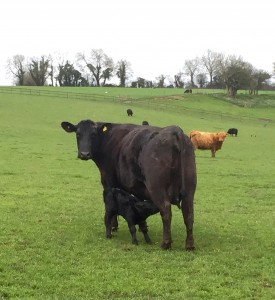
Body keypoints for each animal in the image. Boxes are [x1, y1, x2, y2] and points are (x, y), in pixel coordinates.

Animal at [61, 119, 197, 251]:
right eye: (78, 134)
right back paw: (189, 245)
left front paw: (113, 227)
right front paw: (142, 227)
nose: (84, 154)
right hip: (189, 190)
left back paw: (166, 243)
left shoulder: (109, 182)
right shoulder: (138, 189)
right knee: (189, 213)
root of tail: (175, 131)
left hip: (157, 188)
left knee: (166, 211)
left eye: (93, 134)